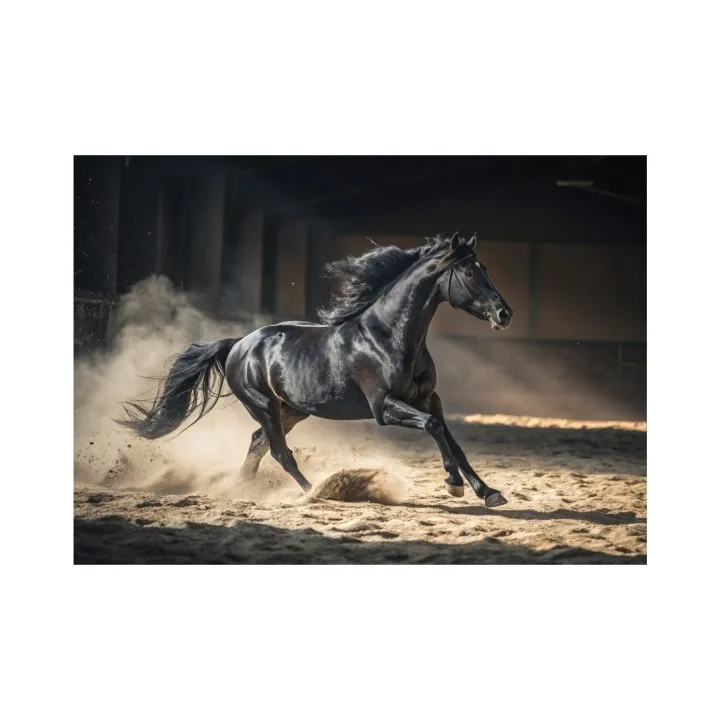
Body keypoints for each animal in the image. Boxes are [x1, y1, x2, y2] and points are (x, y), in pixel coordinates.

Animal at [116, 232, 514, 507]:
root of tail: (238, 344)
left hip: (292, 410)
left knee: (258, 444)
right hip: (263, 406)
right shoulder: (385, 407)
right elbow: (433, 429)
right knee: (279, 452)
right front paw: (454, 485)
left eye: (485, 268)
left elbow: (453, 440)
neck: (388, 335)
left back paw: (239, 488)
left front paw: (489, 492)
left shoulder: (430, 399)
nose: (504, 314)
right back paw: (316, 492)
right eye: (468, 271)